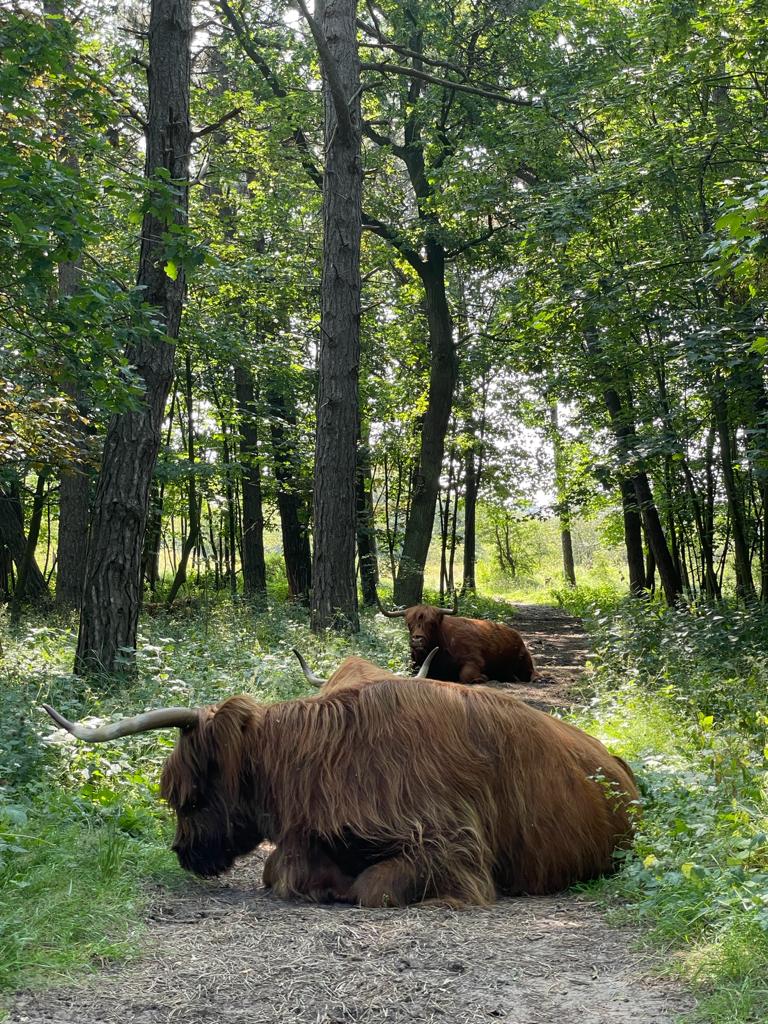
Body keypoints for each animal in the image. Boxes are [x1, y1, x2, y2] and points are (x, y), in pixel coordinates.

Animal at [45, 675, 638, 909]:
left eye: (188, 796)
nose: (182, 852)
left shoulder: (454, 848)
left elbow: (373, 886)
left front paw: (336, 886)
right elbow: (279, 867)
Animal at [380, 598, 540, 684]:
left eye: (432, 623)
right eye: (409, 623)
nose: (417, 639)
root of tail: (516, 635)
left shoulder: (473, 660)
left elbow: (466, 675)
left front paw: (482, 678)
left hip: (524, 662)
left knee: (532, 673)